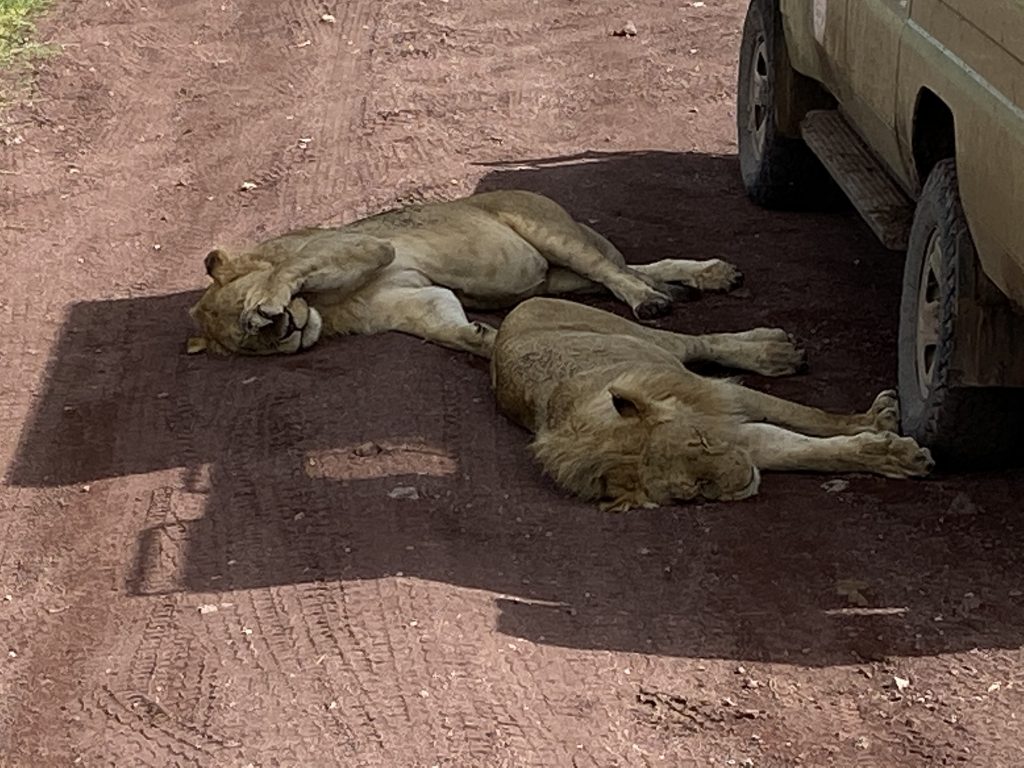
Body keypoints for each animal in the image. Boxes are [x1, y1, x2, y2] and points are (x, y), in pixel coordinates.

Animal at [188, 192, 741, 360]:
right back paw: (706, 278)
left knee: (614, 271)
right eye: (250, 346)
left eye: (249, 325)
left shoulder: (364, 246)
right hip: (559, 278)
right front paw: (484, 338)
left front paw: (269, 297)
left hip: (551, 234)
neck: (326, 311)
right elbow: (449, 330)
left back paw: (652, 301)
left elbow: (291, 267)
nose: (282, 328)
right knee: (631, 270)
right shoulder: (419, 302)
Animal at [491, 299, 933, 512]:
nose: (746, 477)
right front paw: (893, 454)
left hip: (646, 337)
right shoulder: (740, 437)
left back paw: (776, 352)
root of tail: (513, 313)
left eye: (700, 441)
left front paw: (879, 422)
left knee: (702, 341)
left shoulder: (723, 398)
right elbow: (811, 453)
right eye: (695, 492)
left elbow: (810, 416)